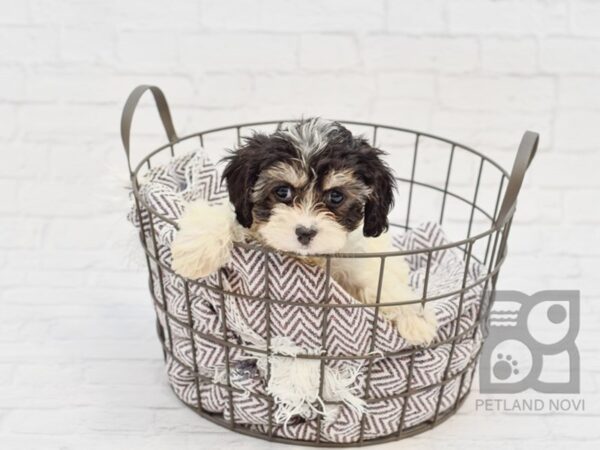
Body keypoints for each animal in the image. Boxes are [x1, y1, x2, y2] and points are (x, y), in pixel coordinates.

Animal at [171, 118, 438, 344]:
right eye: (282, 192)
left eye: (336, 196)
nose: (305, 233)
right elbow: (223, 217)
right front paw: (196, 253)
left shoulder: (354, 264)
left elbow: (378, 282)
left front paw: (413, 317)